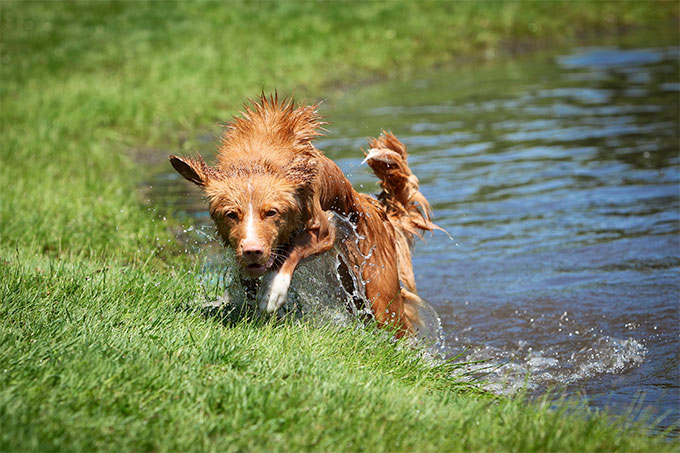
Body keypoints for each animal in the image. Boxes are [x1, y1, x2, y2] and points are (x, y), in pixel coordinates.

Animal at [170, 94, 440, 336]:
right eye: (231, 215)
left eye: (272, 212)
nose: (252, 251)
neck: (257, 162)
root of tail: (376, 209)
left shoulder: (324, 230)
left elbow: (292, 251)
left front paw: (273, 289)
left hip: (380, 293)